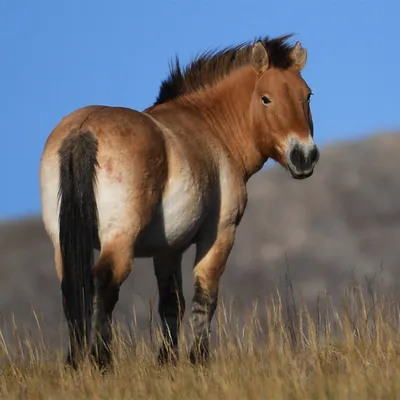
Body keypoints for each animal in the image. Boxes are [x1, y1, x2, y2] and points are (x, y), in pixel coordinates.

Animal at [39, 33, 318, 368]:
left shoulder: (168, 249)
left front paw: (167, 361)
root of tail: (85, 130)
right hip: (119, 240)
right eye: (266, 98)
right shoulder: (218, 234)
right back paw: (102, 360)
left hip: (62, 241)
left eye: (307, 96)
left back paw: (76, 361)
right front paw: (199, 358)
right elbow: (204, 298)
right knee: (104, 284)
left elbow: (172, 304)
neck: (211, 127)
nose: (304, 156)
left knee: (73, 288)